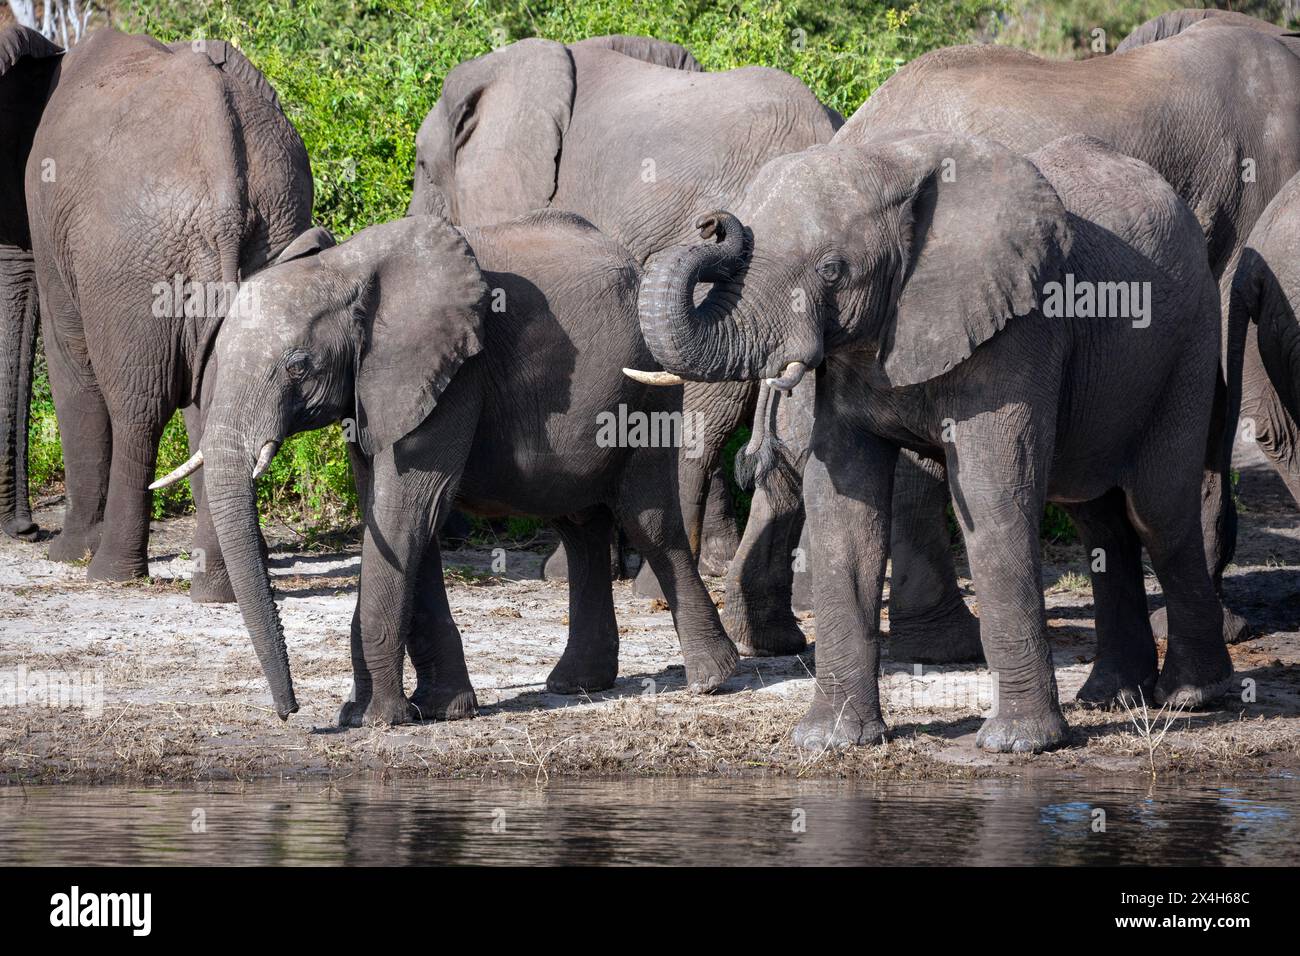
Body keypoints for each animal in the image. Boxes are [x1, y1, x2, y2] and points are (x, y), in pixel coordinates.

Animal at [23, 28, 312, 599]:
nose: (24, 534)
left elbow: (72, 363)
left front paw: (64, 554)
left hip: (128, 263)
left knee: (137, 406)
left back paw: (106, 572)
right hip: (270, 233)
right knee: (214, 405)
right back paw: (217, 590)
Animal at [153, 211, 739, 723]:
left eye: (298, 366)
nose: (289, 711)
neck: (346, 267)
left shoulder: (453, 375)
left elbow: (407, 510)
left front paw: (373, 720)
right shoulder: (375, 389)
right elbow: (397, 518)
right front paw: (437, 710)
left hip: (646, 389)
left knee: (647, 519)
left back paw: (711, 679)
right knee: (579, 526)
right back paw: (577, 684)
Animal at [631, 131, 1238, 753]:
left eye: (831, 270)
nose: (714, 224)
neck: (893, 167)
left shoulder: (1017, 329)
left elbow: (994, 497)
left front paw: (1016, 744)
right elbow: (843, 511)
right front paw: (829, 741)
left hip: (1192, 339)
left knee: (1158, 513)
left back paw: (1191, 696)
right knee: (1099, 521)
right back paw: (1111, 697)